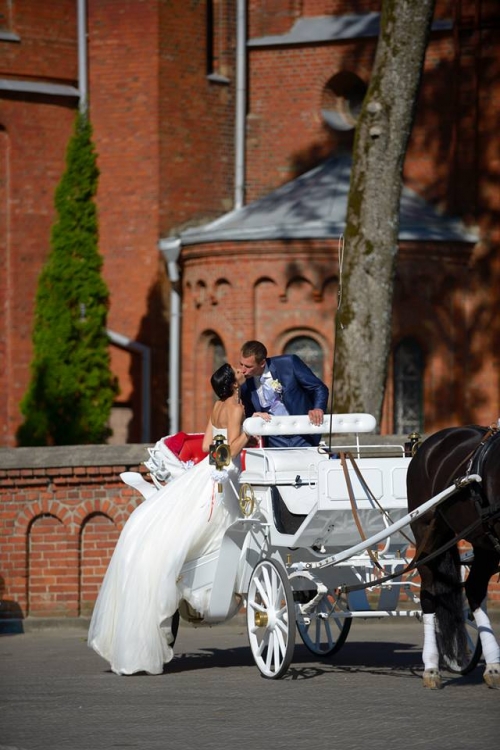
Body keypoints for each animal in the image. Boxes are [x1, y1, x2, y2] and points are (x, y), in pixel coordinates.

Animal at [406, 426, 500, 692]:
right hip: (426, 534)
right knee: (429, 593)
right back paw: (431, 667)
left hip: (482, 542)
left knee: (474, 589)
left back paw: (493, 666)